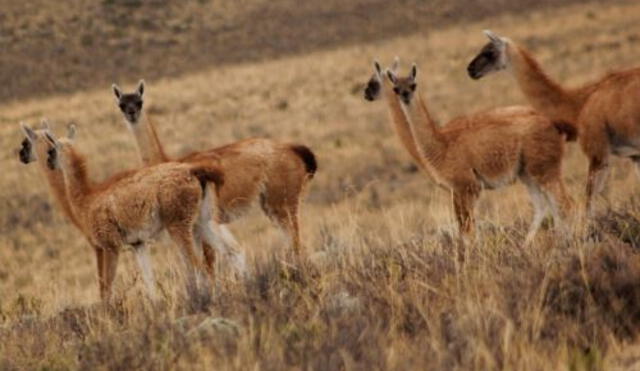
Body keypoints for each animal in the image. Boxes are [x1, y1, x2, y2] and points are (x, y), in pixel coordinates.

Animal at [112, 82, 318, 262]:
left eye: (139, 101)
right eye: (121, 104)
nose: (132, 113)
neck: (166, 161)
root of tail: (293, 148)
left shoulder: (199, 224)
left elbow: (209, 262)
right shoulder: (200, 226)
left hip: (283, 201)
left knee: (296, 242)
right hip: (272, 204)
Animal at [384, 63, 576, 244]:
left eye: (413, 85)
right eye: (396, 88)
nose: (405, 95)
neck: (441, 145)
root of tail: (554, 124)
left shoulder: (467, 186)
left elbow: (466, 231)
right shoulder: (460, 191)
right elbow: (468, 230)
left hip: (544, 166)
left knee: (564, 204)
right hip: (528, 172)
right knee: (544, 206)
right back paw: (529, 245)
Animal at [468, 30, 640, 217]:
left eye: (489, 52)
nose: (470, 69)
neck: (579, 104)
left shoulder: (598, 152)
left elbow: (589, 200)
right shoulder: (634, 155)